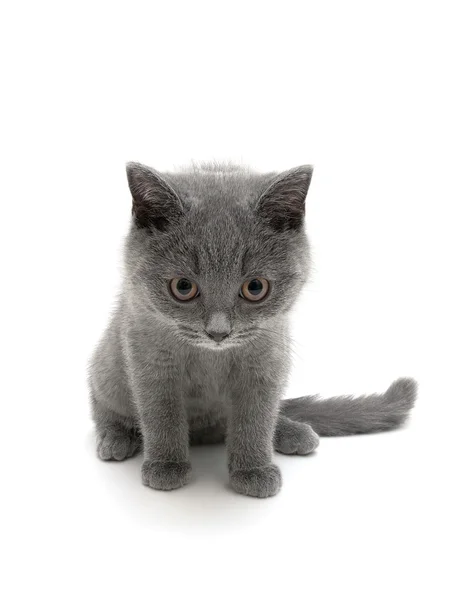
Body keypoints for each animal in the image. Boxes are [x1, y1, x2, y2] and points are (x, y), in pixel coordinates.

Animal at [89, 162, 416, 500]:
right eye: (182, 287)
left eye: (255, 287)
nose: (218, 332)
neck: (211, 358)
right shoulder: (149, 359)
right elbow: (161, 414)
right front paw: (167, 465)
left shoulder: (268, 362)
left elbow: (256, 418)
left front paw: (253, 469)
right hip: (105, 370)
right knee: (104, 407)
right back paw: (116, 437)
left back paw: (291, 430)